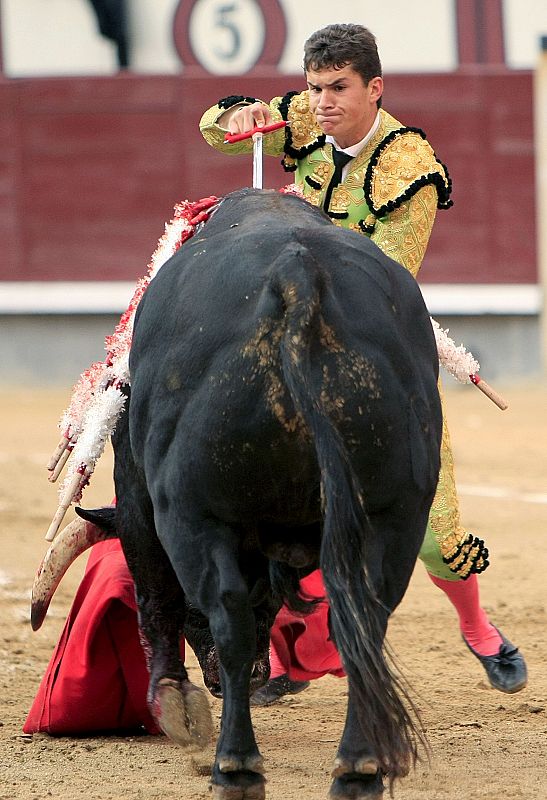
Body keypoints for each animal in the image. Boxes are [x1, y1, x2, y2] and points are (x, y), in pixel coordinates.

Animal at [82, 189, 440, 800]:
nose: (256, 681)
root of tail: (297, 276)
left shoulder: (136, 490)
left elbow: (157, 593)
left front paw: (175, 706)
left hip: (193, 511)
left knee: (227, 618)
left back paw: (235, 764)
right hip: (398, 514)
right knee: (364, 621)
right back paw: (358, 766)